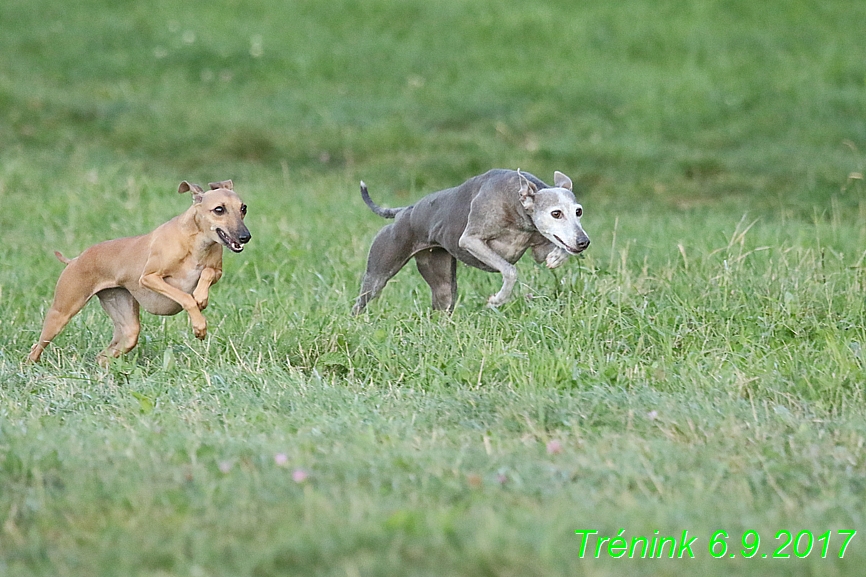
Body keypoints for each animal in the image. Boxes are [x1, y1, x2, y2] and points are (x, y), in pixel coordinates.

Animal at [27, 179, 250, 364]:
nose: (245, 236)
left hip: (126, 324)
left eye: (243, 208)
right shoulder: (150, 278)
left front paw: (201, 297)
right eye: (219, 209)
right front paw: (199, 326)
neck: (196, 243)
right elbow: (186, 298)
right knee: (35, 348)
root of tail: (75, 260)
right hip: (61, 312)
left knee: (105, 354)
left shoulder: (216, 270)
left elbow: (208, 273)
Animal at [352, 169, 588, 312]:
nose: (584, 241)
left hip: (442, 280)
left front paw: (557, 257)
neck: (515, 203)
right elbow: (510, 270)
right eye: (556, 213)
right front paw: (498, 299)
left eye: (579, 211)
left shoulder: (539, 246)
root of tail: (403, 211)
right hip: (378, 273)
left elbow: (552, 252)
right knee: (362, 300)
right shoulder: (470, 241)